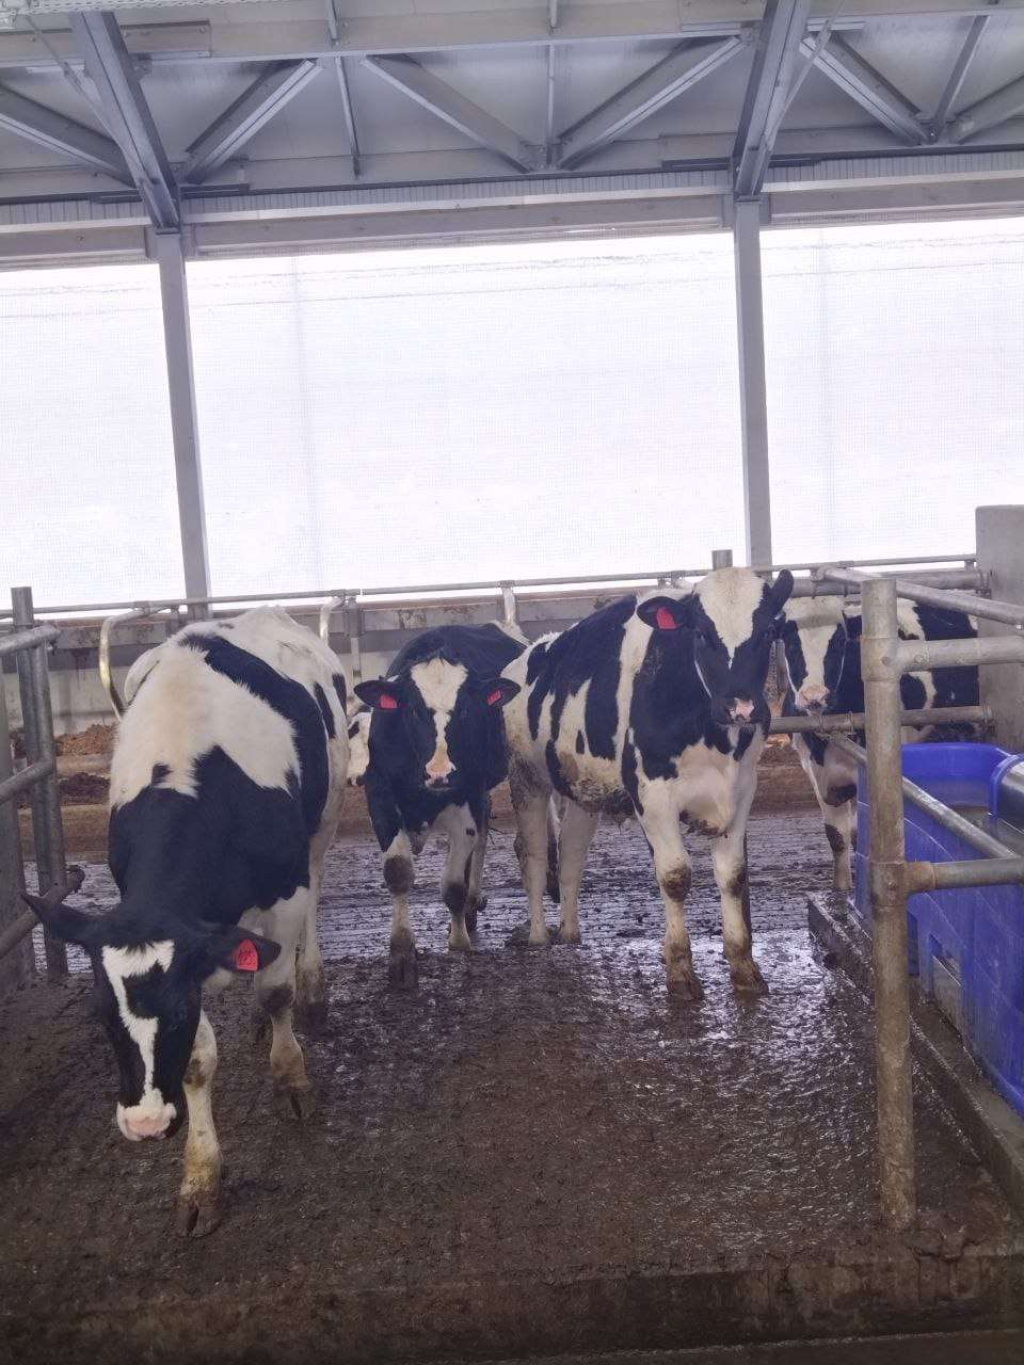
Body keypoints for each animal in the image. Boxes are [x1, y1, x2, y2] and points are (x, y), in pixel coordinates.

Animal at [22, 607, 348, 1237]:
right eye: (101, 1016)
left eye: (175, 1012)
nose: (144, 1124)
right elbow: (198, 1061)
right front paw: (200, 1180)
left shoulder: (286, 886)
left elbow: (276, 991)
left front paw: (290, 1076)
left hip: (325, 819)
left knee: (313, 904)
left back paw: (311, 988)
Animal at [354, 622, 524, 987]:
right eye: (413, 709)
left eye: (465, 709)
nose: (440, 772)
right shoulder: (380, 797)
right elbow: (398, 872)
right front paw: (402, 954)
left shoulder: (466, 800)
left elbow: (454, 885)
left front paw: (458, 941)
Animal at [501, 567, 794, 999]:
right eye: (701, 632)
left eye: (768, 630)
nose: (740, 706)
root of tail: (529, 653)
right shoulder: (653, 795)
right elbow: (674, 876)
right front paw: (680, 971)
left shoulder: (742, 790)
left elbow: (733, 876)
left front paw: (744, 968)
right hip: (526, 777)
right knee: (534, 853)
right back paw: (538, 935)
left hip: (582, 790)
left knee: (571, 853)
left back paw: (569, 933)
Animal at [778, 594, 979, 893]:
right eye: (790, 641)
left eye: (839, 641)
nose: (814, 696)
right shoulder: (815, 773)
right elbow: (836, 836)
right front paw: (841, 889)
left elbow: (859, 837)